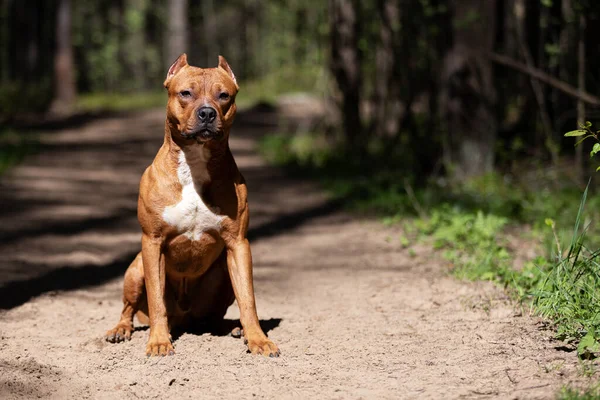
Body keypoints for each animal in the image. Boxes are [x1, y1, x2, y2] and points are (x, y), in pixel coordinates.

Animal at [105, 53, 278, 356]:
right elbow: (157, 300)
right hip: (136, 269)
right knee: (130, 308)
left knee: (215, 315)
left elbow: (248, 298)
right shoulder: (152, 242)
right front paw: (159, 341)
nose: (207, 113)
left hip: (223, 273)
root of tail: (185, 319)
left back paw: (235, 329)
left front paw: (258, 338)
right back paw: (121, 329)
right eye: (186, 93)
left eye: (224, 96)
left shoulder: (238, 244)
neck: (194, 164)